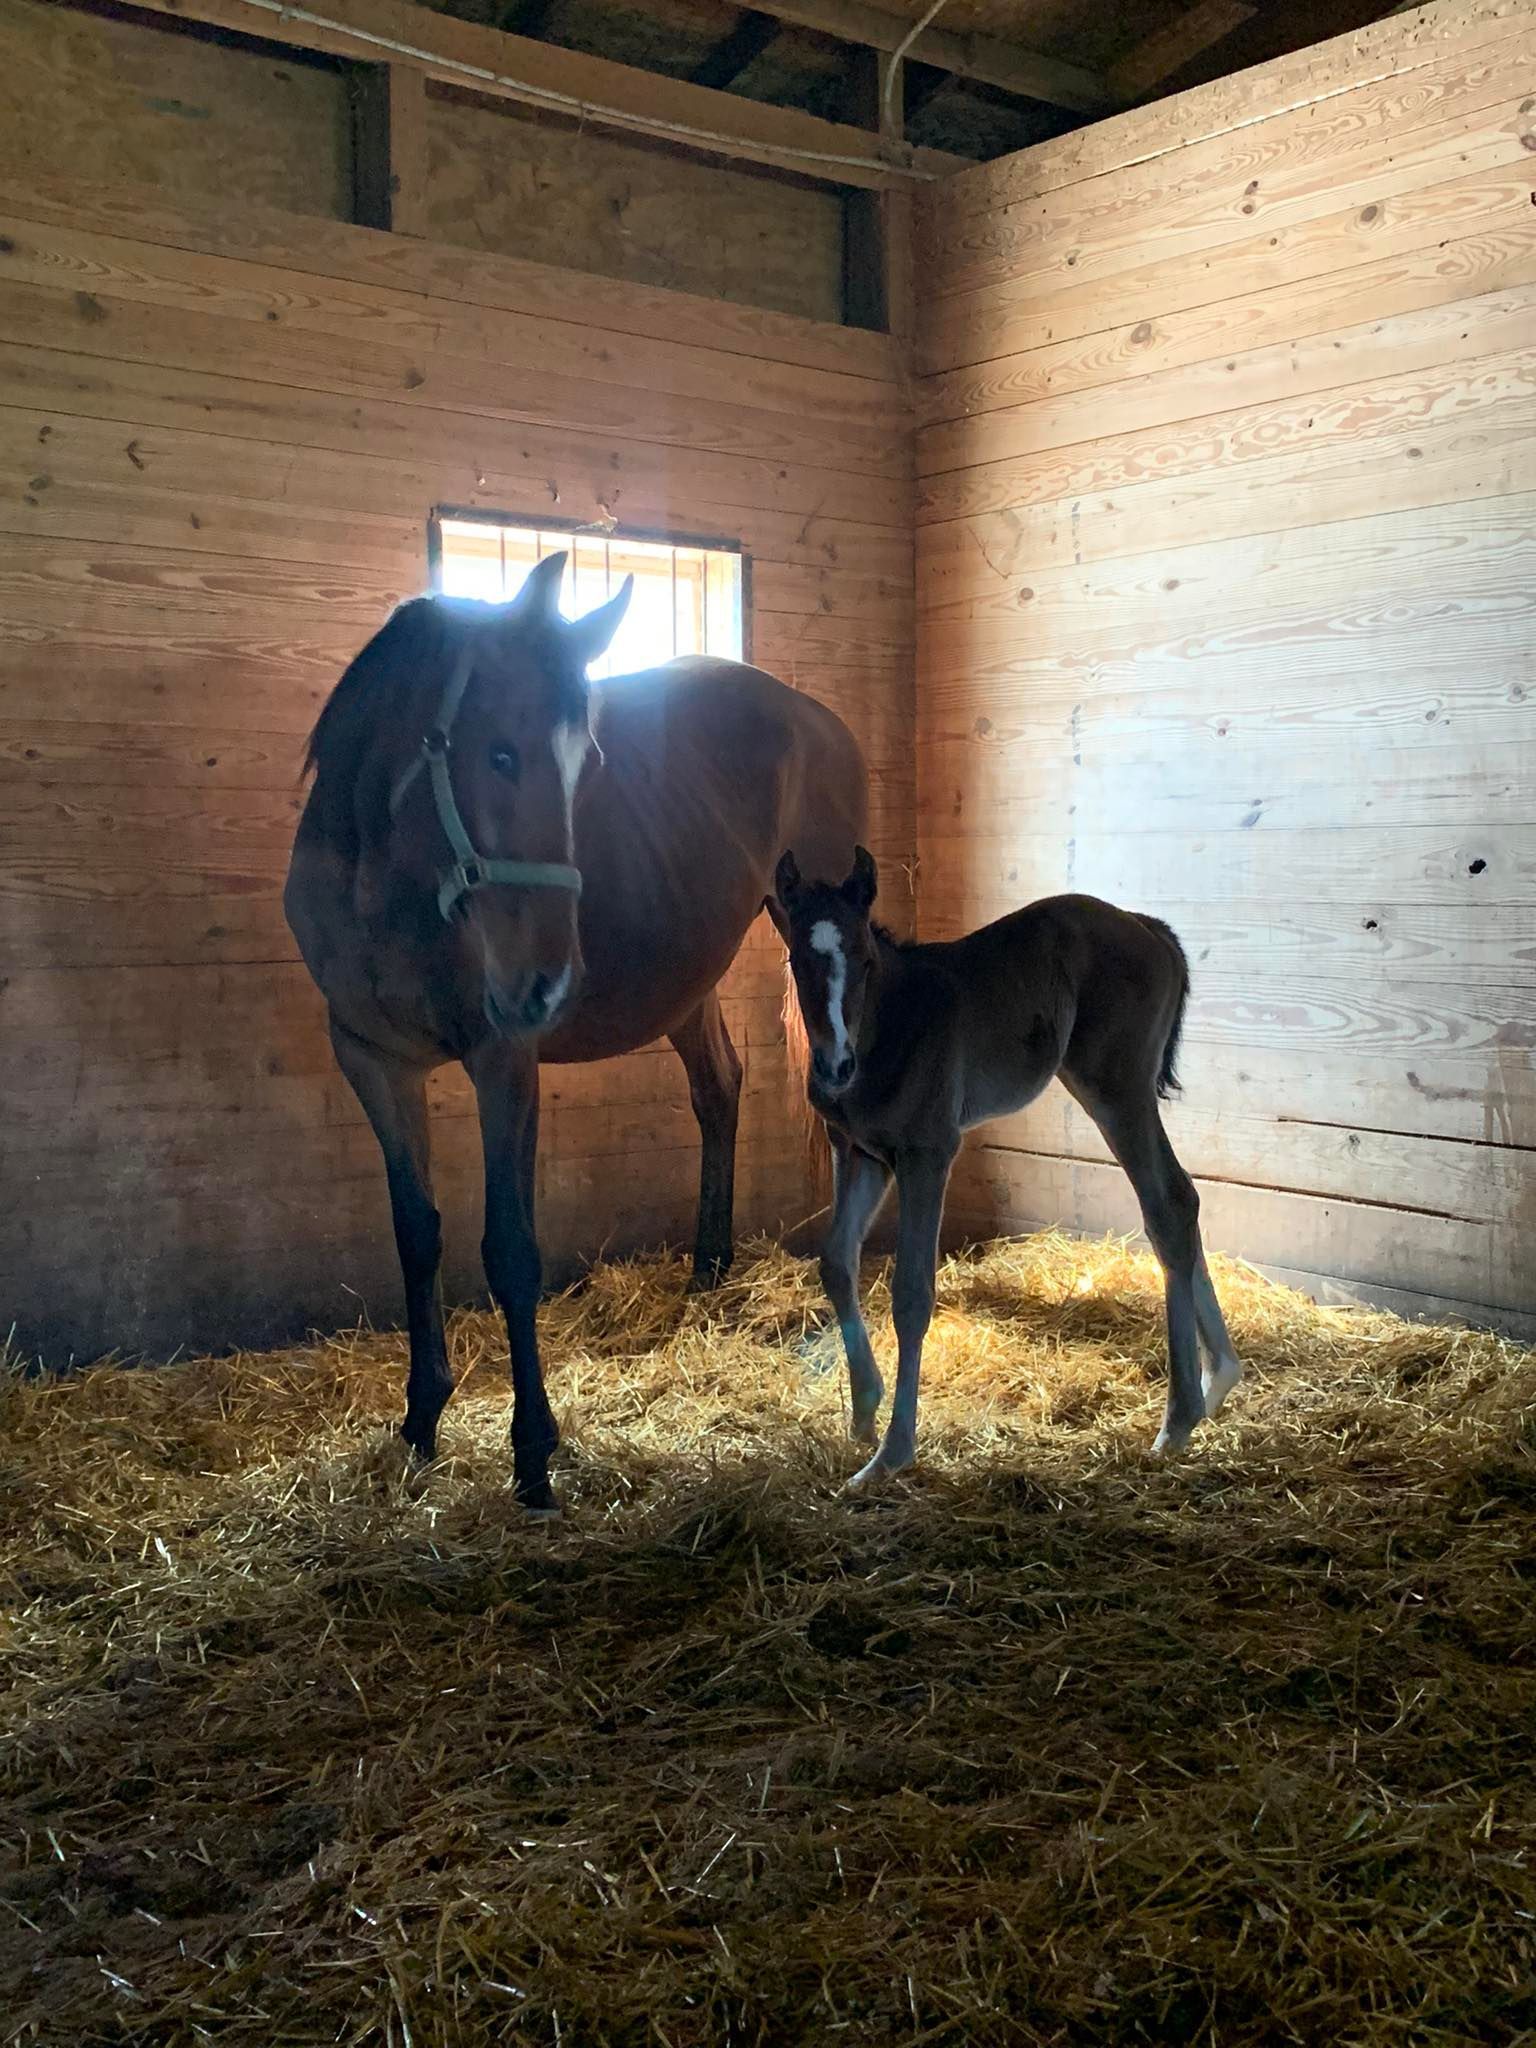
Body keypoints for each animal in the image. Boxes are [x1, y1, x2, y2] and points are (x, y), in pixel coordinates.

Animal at [284, 551, 866, 1510]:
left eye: (583, 763)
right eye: (500, 753)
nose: (549, 983)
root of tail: (819, 717)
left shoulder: (503, 1062)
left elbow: (510, 1248)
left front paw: (532, 1452)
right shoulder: (372, 1061)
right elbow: (417, 1232)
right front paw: (421, 1417)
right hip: (689, 987)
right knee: (720, 1088)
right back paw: (709, 1268)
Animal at [773, 847, 1243, 1487]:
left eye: (866, 960)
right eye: (799, 962)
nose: (835, 1067)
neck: (890, 1024)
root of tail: (1148, 927)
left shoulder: (928, 1153)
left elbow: (911, 1294)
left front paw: (891, 1454)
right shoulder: (860, 1153)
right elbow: (837, 1264)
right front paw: (865, 1414)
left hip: (1116, 1088)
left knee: (1166, 1203)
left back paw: (1178, 1421)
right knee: (1179, 1201)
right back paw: (1217, 1380)